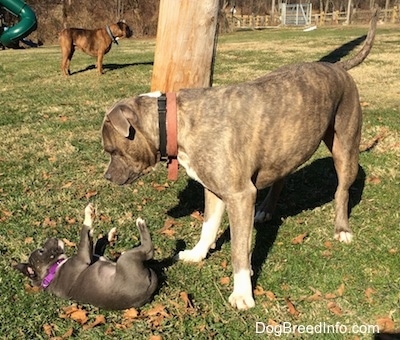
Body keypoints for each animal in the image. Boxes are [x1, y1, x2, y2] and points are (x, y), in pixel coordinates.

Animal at [15, 203, 158, 310]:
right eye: (41, 251)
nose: (52, 237)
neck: (51, 271)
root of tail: (148, 291)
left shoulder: (93, 255)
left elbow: (96, 243)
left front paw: (110, 235)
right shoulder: (83, 257)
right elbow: (84, 234)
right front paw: (88, 214)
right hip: (126, 260)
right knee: (148, 250)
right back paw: (140, 223)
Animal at [101, 10, 380, 310]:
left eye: (112, 151)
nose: (107, 176)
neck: (175, 120)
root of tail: (338, 67)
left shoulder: (239, 195)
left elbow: (239, 251)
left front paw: (242, 293)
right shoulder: (214, 190)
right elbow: (208, 227)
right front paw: (197, 254)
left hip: (345, 148)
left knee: (341, 190)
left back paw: (341, 229)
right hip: (285, 146)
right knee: (281, 177)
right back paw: (267, 210)